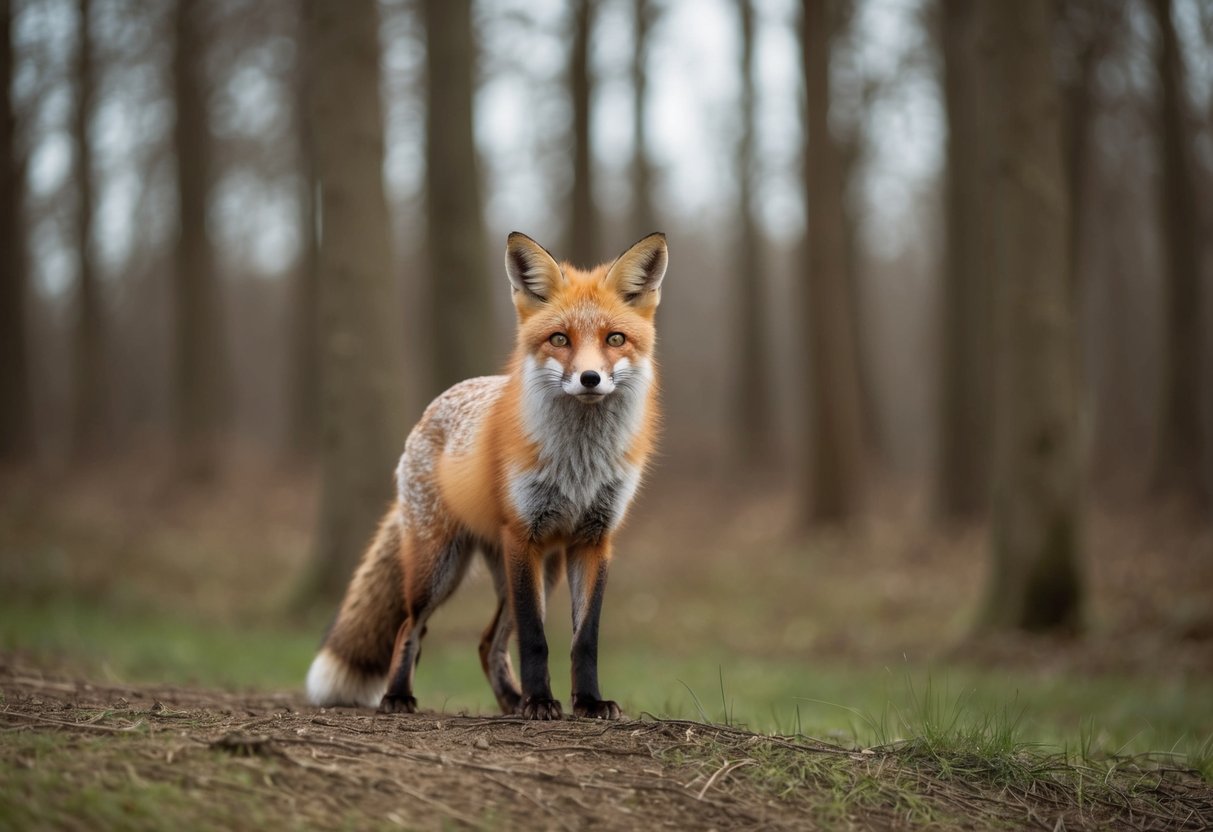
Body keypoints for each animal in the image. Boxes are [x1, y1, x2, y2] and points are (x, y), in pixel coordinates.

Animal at [306, 231, 668, 721]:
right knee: (409, 629)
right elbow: (535, 640)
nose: (590, 378)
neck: (579, 464)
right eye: (559, 338)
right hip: (440, 568)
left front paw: (588, 702)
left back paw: (510, 701)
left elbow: (584, 639)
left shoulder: (594, 540)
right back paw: (399, 697)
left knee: (487, 642)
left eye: (615, 338)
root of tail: (434, 407)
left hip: (540, 572)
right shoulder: (523, 535)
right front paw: (541, 702)